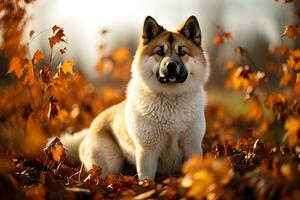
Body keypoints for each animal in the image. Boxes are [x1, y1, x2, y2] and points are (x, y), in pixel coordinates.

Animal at [59, 15, 210, 180]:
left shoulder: (192, 147)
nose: (171, 65)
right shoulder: (147, 151)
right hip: (112, 161)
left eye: (182, 52)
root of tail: (88, 132)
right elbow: (147, 178)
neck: (171, 98)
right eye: (159, 52)